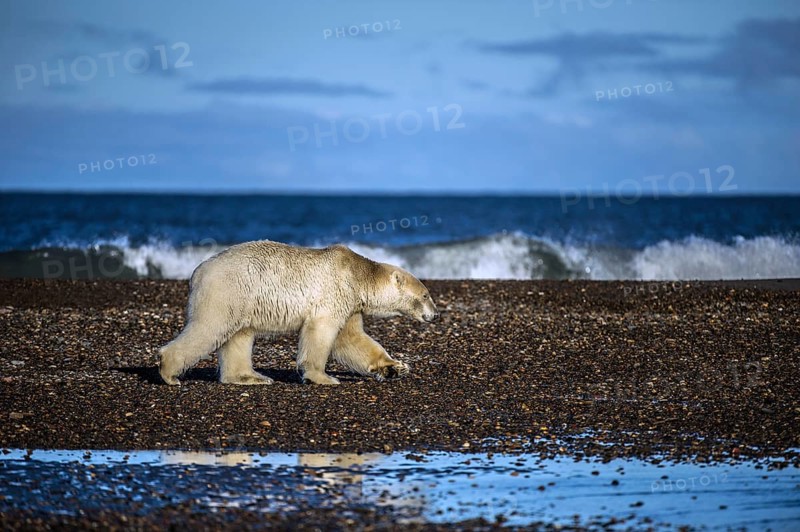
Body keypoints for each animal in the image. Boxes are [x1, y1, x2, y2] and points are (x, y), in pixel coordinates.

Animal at [158, 240, 438, 386]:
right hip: (227, 290)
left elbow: (351, 339)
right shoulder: (335, 291)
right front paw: (323, 377)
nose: (435, 315)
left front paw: (396, 367)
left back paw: (250, 377)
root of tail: (198, 271)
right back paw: (169, 372)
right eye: (425, 295)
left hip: (243, 299)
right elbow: (322, 332)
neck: (358, 275)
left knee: (239, 335)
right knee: (210, 328)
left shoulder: (350, 302)